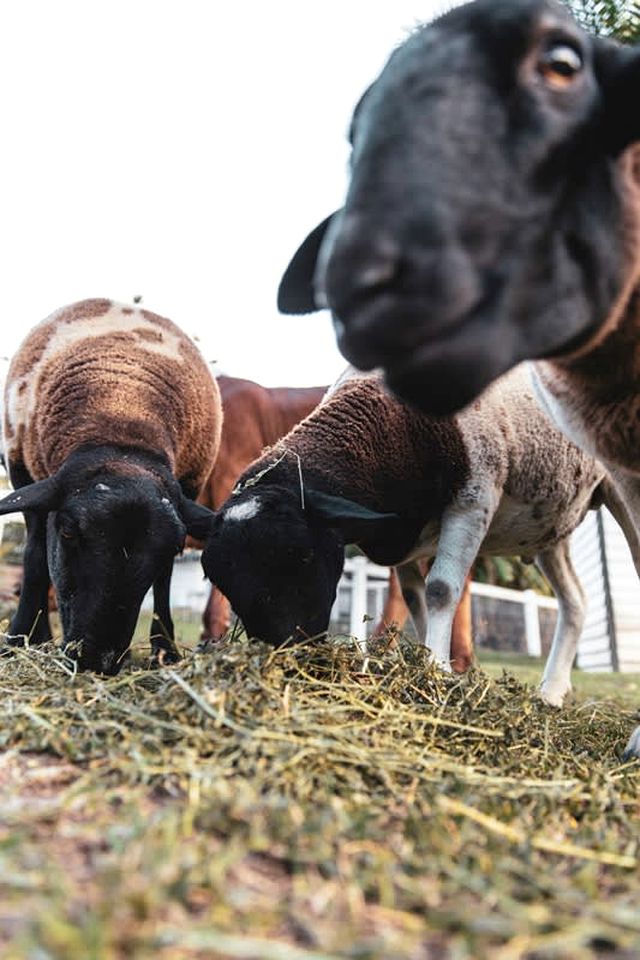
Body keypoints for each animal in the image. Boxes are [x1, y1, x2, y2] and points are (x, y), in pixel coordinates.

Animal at [0, 300, 220, 676]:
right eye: (68, 532)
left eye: (176, 547)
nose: (96, 661)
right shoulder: (23, 475)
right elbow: (35, 559)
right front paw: (18, 639)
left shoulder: (189, 488)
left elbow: (164, 582)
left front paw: (166, 650)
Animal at [202, 364, 608, 708]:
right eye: (222, 582)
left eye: (302, 557)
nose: (289, 662)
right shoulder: (404, 537)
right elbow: (415, 598)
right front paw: (427, 665)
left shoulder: (473, 501)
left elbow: (440, 590)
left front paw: (438, 672)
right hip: (552, 527)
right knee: (576, 600)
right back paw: (551, 693)